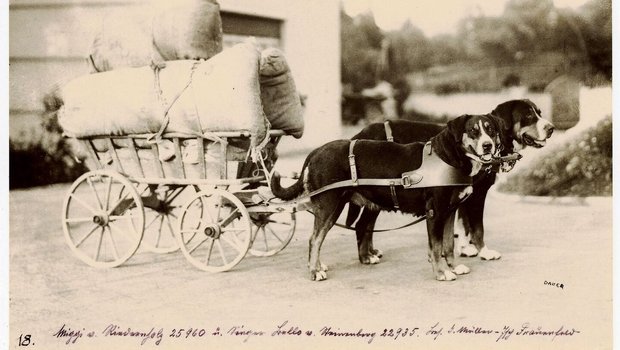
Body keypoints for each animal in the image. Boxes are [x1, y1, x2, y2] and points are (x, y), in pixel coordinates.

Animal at [270, 114, 504, 282]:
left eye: (491, 130)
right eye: (473, 131)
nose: (487, 146)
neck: (449, 157)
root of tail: (317, 151)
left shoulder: (449, 212)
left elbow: (448, 245)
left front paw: (454, 267)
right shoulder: (435, 213)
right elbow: (437, 247)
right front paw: (442, 273)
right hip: (329, 206)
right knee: (315, 240)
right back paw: (315, 271)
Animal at [346, 98, 556, 262]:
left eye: (539, 113)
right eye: (528, 116)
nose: (552, 128)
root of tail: (359, 135)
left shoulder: (463, 192)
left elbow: (463, 223)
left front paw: (464, 248)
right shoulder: (477, 194)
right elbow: (476, 227)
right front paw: (483, 251)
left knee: (366, 224)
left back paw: (371, 252)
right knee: (363, 224)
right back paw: (367, 256)